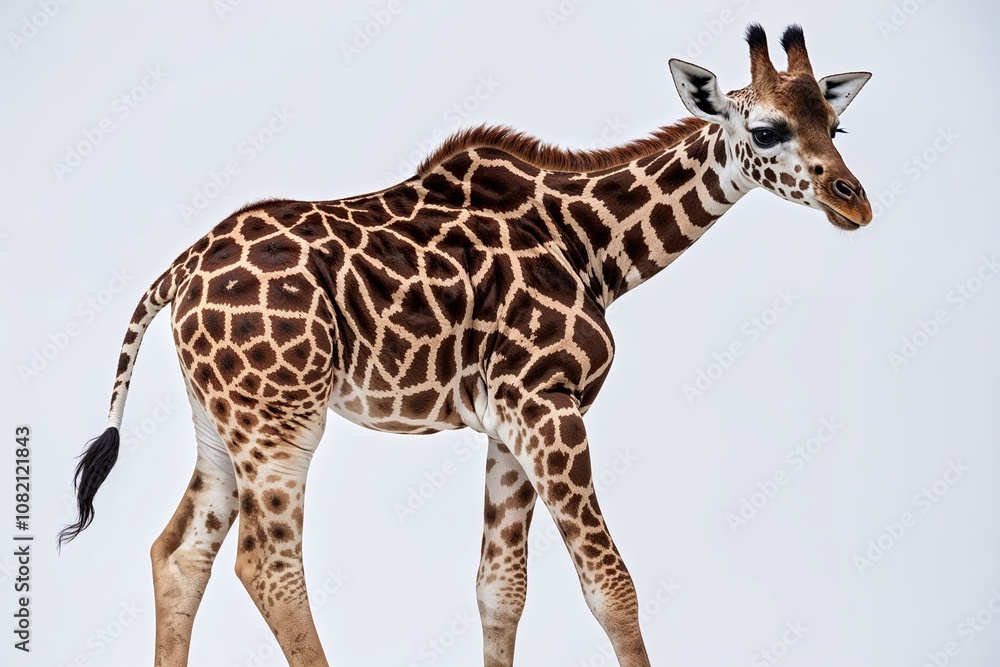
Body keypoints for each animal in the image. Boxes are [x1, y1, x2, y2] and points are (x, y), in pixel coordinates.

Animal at [59, 24, 871, 667]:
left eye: (835, 126)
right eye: (765, 130)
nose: (853, 202)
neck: (592, 245)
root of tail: (179, 272)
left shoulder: (509, 423)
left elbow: (500, 589)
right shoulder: (547, 403)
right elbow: (610, 585)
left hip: (220, 418)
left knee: (180, 550)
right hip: (281, 417)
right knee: (268, 564)